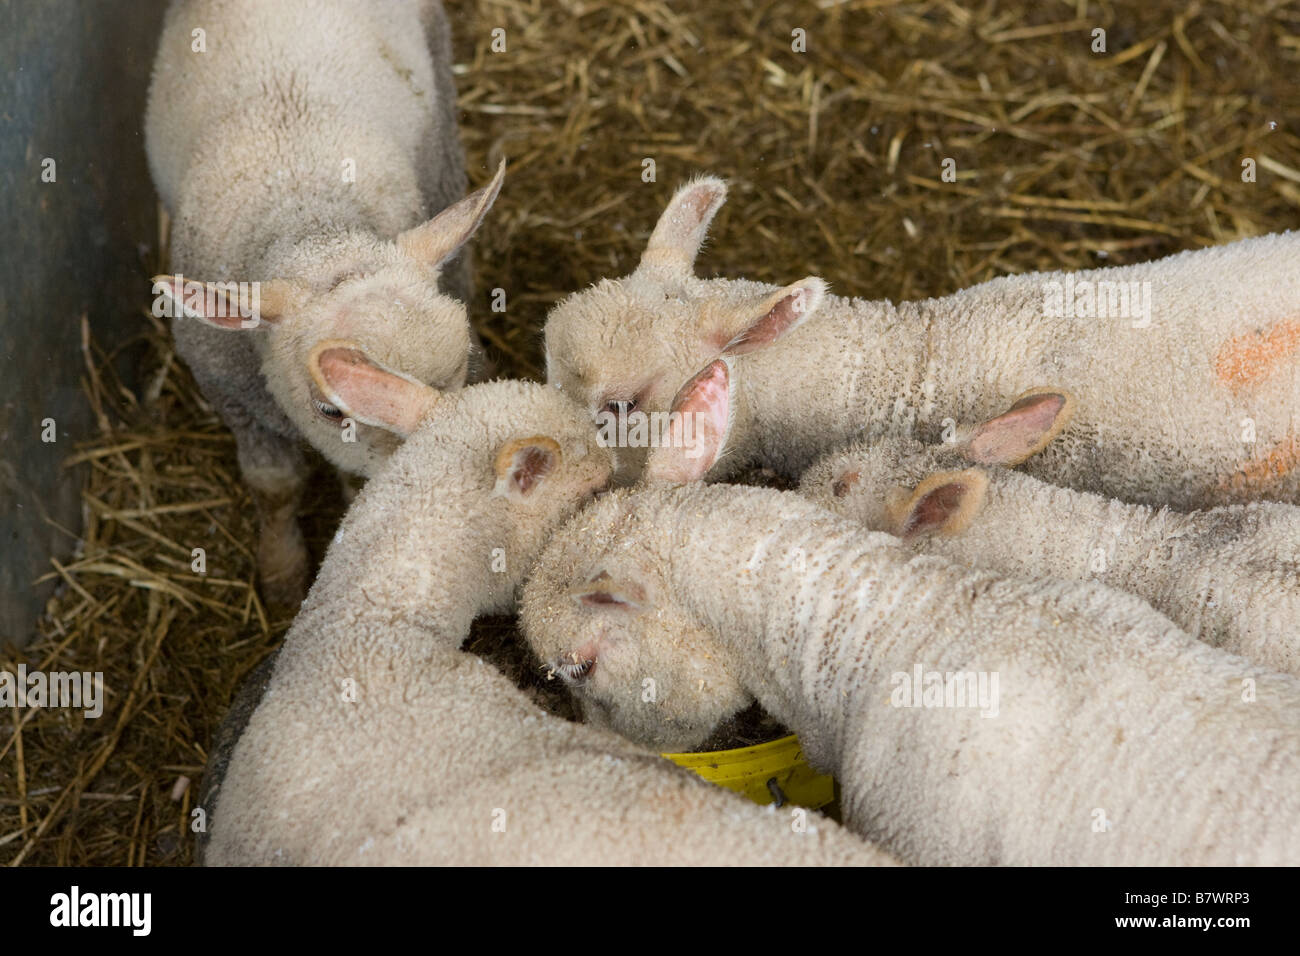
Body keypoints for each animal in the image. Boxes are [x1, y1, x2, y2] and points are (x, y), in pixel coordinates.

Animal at [146, 0, 501, 613]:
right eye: (331, 412)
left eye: (458, 372)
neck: (313, 225)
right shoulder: (233, 398)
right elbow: (274, 488)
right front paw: (282, 577)